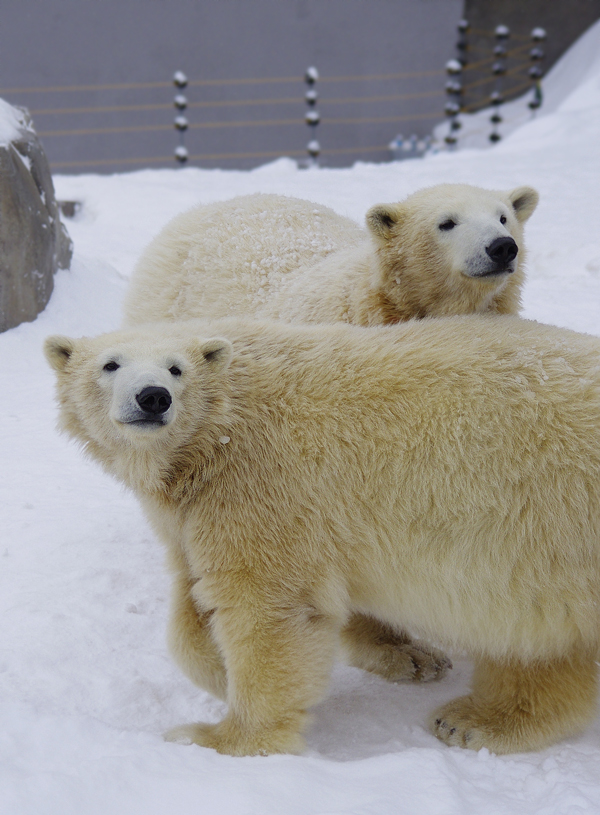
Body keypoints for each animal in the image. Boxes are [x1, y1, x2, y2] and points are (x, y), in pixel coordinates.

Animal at [45, 318, 600, 760]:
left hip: (550, 525)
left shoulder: (265, 486)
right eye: (111, 364)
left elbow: (268, 609)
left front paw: (222, 737)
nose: (152, 397)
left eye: (177, 368)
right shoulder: (200, 511)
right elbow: (194, 601)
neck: (217, 434)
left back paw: (471, 721)